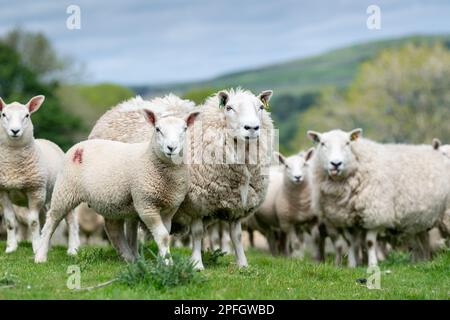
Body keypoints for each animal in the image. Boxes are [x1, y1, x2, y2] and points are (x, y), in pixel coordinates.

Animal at [0, 95, 80, 255]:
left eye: (27, 115)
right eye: (3, 115)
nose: (15, 131)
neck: (13, 165)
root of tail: (48, 141)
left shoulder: (35, 191)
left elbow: (33, 222)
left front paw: (36, 248)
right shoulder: (3, 190)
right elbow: (10, 221)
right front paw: (11, 248)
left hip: (63, 192)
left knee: (71, 221)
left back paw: (72, 249)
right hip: (46, 198)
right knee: (45, 219)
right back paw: (47, 246)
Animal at [33, 107, 199, 262]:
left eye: (185, 129)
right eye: (158, 129)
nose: (171, 148)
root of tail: (80, 144)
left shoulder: (169, 208)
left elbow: (164, 236)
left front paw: (162, 260)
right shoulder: (146, 205)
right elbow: (163, 236)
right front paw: (167, 263)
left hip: (112, 201)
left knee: (113, 229)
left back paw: (130, 257)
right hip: (65, 190)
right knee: (51, 220)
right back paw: (40, 256)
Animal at [85, 88, 274, 270]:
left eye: (261, 107)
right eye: (229, 108)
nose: (252, 128)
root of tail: (116, 108)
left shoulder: (237, 206)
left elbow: (237, 236)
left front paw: (243, 264)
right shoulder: (196, 203)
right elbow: (197, 233)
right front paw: (197, 264)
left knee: (131, 224)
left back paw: (135, 257)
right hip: (110, 194)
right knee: (113, 227)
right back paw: (127, 256)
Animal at [306, 129, 450, 266]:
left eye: (347, 143)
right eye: (322, 143)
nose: (336, 164)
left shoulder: (375, 213)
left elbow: (370, 242)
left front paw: (372, 265)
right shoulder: (344, 217)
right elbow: (351, 242)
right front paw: (352, 265)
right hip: (418, 219)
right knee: (421, 240)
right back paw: (421, 262)